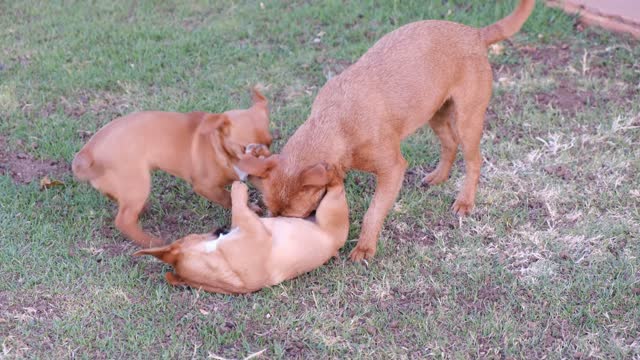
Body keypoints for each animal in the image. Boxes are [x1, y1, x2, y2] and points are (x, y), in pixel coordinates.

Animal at [72, 88, 272, 249]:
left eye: (271, 142)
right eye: (246, 148)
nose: (268, 161)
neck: (219, 148)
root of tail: (88, 154)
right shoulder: (205, 187)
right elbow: (227, 197)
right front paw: (250, 208)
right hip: (138, 183)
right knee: (123, 220)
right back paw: (152, 242)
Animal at [132, 180, 348, 296]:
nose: (221, 229)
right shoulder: (254, 229)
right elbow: (238, 204)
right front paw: (239, 187)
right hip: (331, 206)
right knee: (335, 185)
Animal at [238, 2, 532, 262]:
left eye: (300, 216)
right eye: (271, 213)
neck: (336, 123)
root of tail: (475, 33)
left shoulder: (392, 169)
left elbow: (373, 212)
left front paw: (365, 248)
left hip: (467, 121)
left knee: (474, 161)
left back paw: (465, 202)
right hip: (435, 113)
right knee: (449, 144)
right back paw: (438, 176)